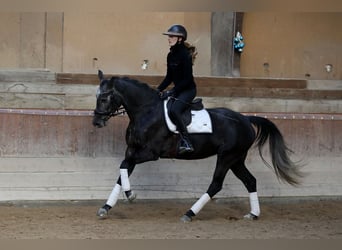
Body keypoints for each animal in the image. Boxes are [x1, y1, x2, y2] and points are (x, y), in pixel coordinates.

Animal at [92, 69, 304, 222]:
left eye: (104, 98)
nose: (96, 122)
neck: (146, 111)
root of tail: (245, 118)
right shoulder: (132, 150)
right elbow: (123, 171)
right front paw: (106, 207)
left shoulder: (150, 153)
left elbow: (123, 167)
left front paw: (131, 195)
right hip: (236, 159)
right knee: (250, 181)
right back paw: (253, 214)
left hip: (227, 157)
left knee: (216, 184)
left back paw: (189, 214)